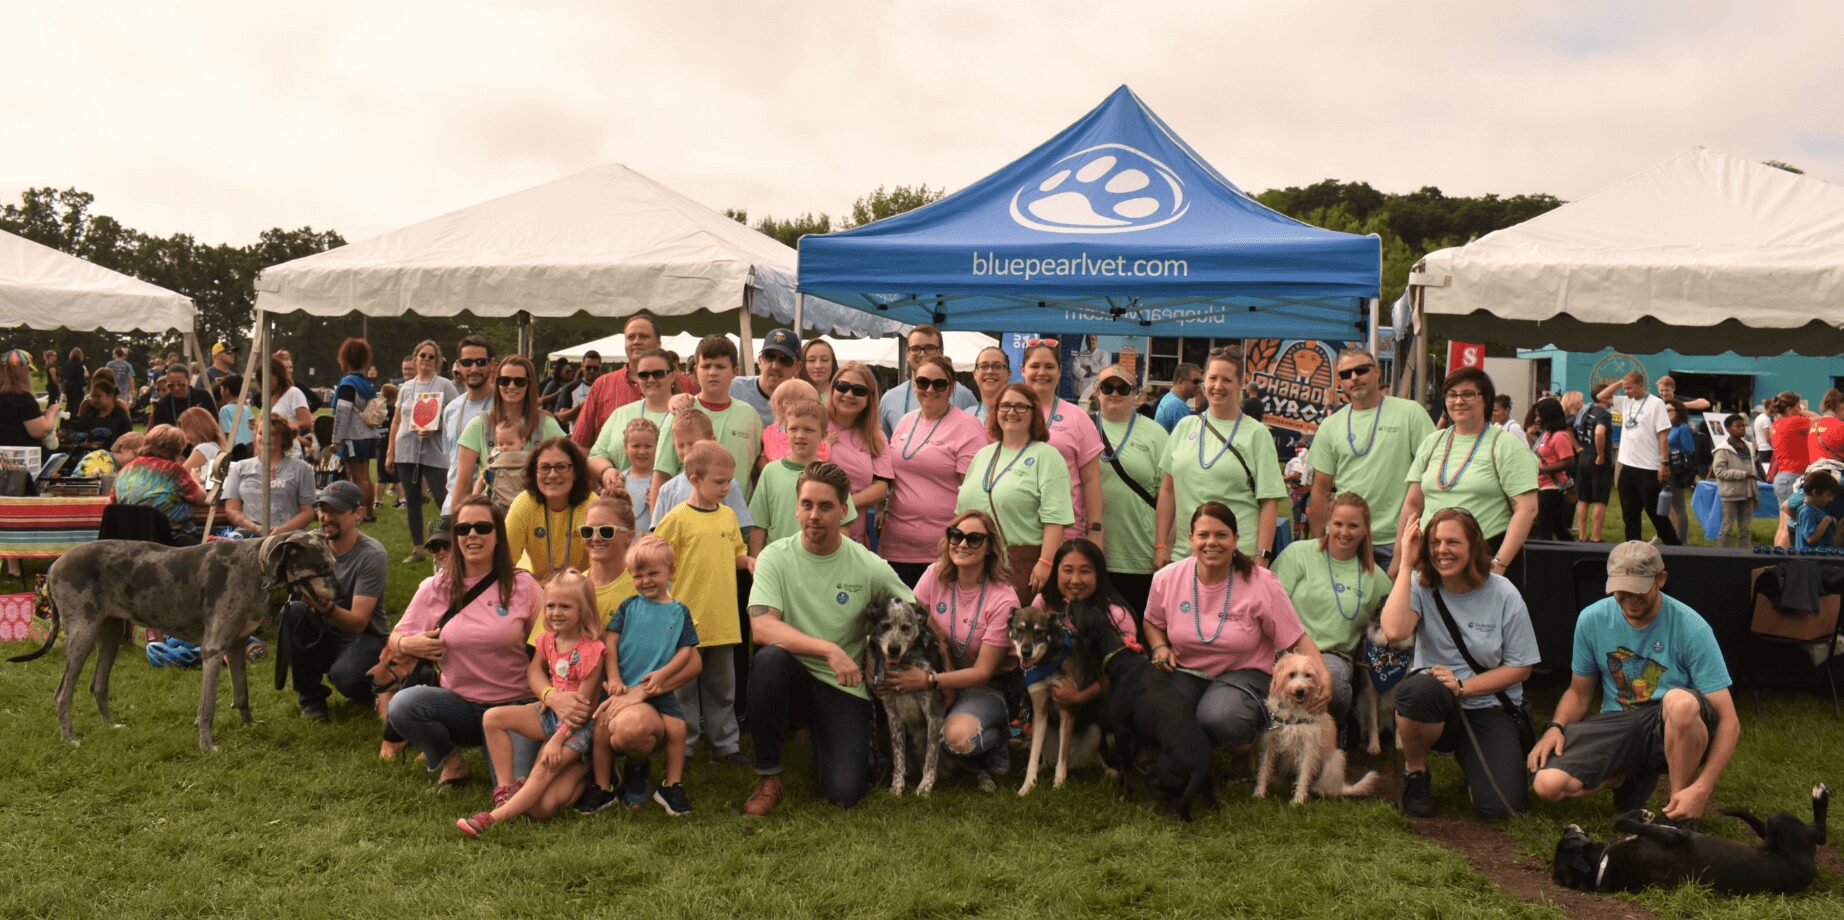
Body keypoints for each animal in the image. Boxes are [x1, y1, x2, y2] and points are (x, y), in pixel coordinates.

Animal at [1062, 601, 1217, 825]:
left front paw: (1126, 796)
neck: (1121, 659)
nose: (1072, 601)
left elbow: (1127, 769)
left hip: (1156, 776)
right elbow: (1126, 765)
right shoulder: (1137, 735)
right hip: (1204, 784)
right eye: (1091, 607)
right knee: (1212, 802)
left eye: (1079, 613)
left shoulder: (1121, 731)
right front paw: (1119, 781)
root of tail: (1198, 768)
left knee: (1170, 807)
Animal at [1253, 652, 1386, 803]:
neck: (1294, 710)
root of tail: (1341, 786)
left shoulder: (1309, 747)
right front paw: (1259, 793)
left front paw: (1298, 800)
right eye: (1291, 674)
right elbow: (1264, 768)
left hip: (1335, 759)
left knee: (1327, 788)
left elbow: (1304, 774)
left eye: (1308, 675)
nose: (1300, 691)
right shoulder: (1270, 741)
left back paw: (1319, 790)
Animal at [1556, 781, 1829, 896]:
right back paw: (1819, 794)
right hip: (1781, 821)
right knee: (1820, 833)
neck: (1603, 864)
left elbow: (1620, 819)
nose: (1565, 826)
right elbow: (1621, 821)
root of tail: (1808, 872)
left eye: (1567, 835)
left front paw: (1642, 814)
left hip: (1772, 833)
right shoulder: (1678, 835)